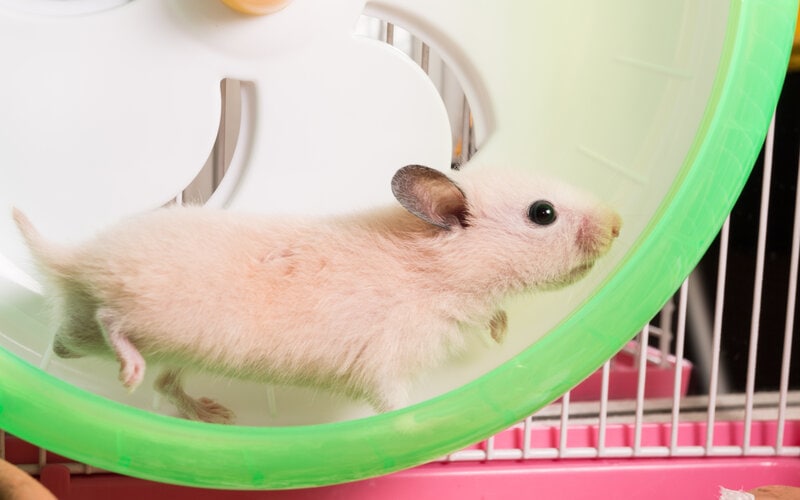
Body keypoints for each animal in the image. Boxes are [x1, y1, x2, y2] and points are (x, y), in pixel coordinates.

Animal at [14, 166, 624, 424]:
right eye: (543, 214)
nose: (620, 224)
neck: (437, 273)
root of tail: (75, 260)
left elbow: (493, 317)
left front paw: (500, 332)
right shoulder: (385, 361)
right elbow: (393, 401)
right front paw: (415, 423)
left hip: (159, 345)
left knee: (117, 358)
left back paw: (216, 415)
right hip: (144, 313)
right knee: (110, 323)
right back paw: (128, 374)